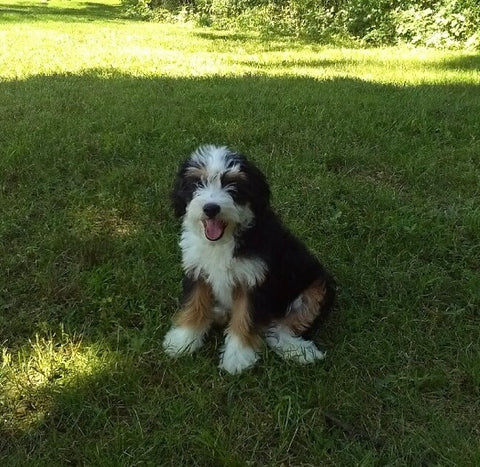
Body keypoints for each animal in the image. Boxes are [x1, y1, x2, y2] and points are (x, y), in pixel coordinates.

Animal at [161, 144, 334, 374]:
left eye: (232, 185)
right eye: (198, 183)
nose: (211, 208)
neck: (225, 239)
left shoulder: (254, 280)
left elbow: (245, 317)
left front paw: (237, 357)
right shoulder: (197, 270)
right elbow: (194, 304)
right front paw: (183, 340)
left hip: (315, 288)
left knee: (278, 329)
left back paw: (300, 351)